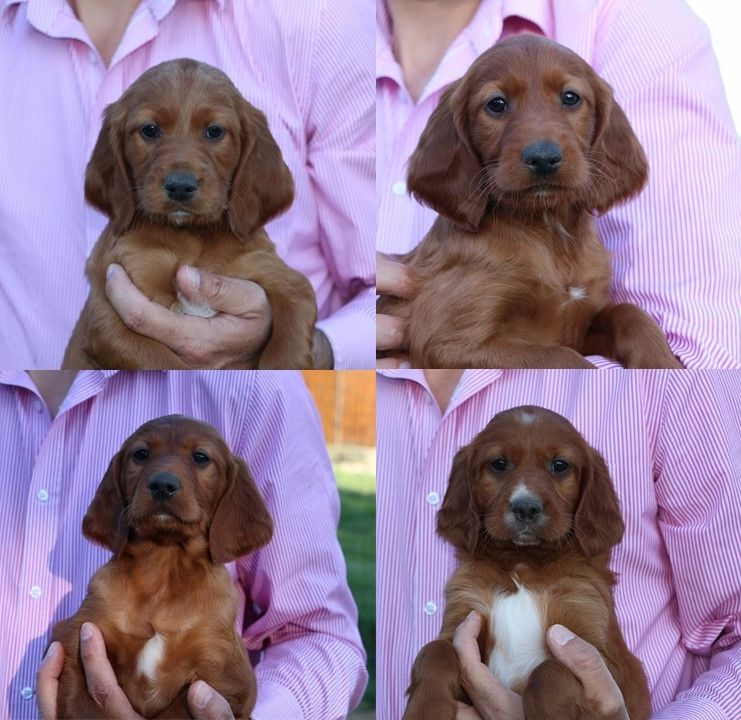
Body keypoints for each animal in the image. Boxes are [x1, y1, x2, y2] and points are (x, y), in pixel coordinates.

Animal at [50, 414, 274, 716]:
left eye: (200, 457)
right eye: (141, 454)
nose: (162, 484)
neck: (163, 567)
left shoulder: (225, 678)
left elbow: (177, 712)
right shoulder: (75, 641)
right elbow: (84, 709)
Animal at [63, 58, 316, 368]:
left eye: (214, 131)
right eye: (149, 129)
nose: (180, 186)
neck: (193, 236)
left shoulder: (282, 279)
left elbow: (286, 353)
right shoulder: (111, 315)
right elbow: (165, 364)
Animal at [378, 35, 680, 368]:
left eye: (570, 97)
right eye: (496, 104)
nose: (543, 158)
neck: (548, 230)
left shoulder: (585, 319)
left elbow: (630, 313)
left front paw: (662, 362)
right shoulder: (447, 341)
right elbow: (564, 359)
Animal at [402, 404, 652, 720]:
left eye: (559, 465)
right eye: (498, 463)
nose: (525, 508)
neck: (522, 563)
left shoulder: (605, 657)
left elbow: (549, 673)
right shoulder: (462, 619)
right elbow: (434, 651)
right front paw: (426, 709)